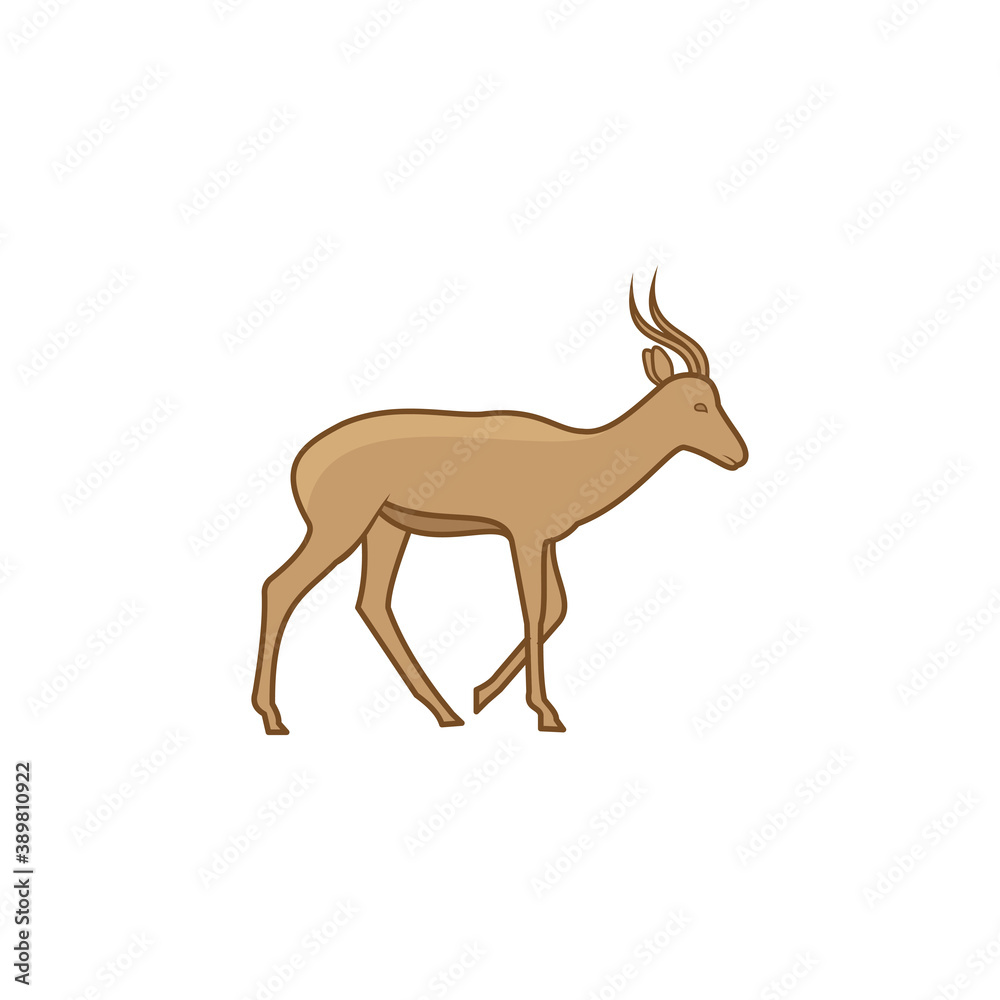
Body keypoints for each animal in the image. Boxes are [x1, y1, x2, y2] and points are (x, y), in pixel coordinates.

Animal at [252, 270, 747, 734]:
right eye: (699, 406)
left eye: (717, 399)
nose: (739, 456)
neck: (581, 453)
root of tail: (304, 459)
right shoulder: (522, 537)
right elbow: (533, 608)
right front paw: (546, 713)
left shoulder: (547, 541)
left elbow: (557, 608)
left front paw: (481, 694)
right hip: (340, 528)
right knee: (280, 587)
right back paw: (273, 718)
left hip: (388, 527)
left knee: (372, 602)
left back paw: (447, 712)